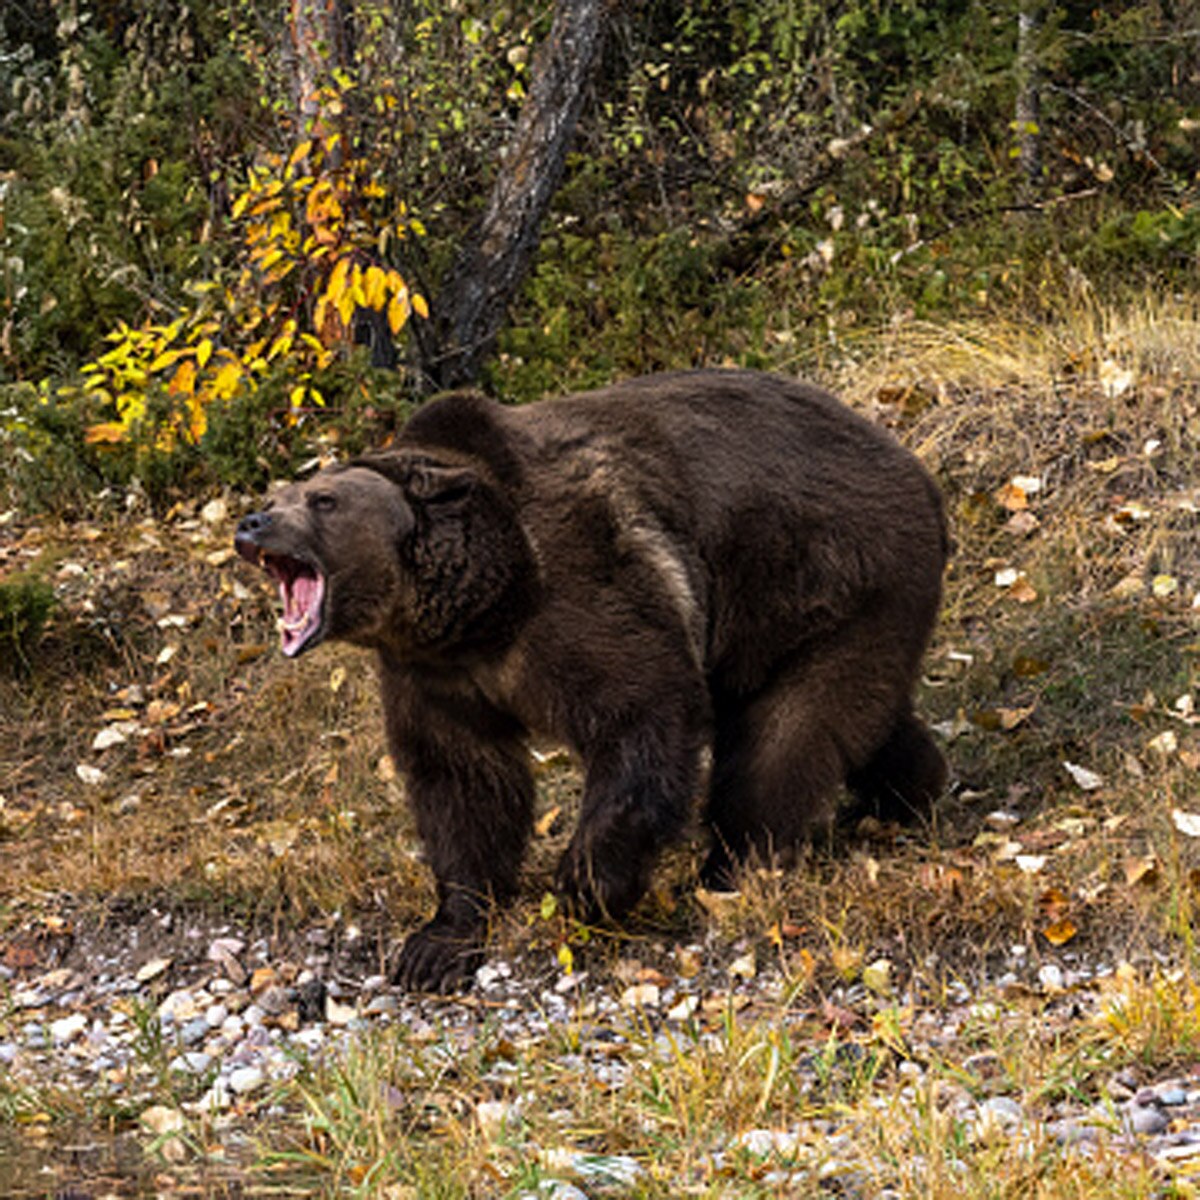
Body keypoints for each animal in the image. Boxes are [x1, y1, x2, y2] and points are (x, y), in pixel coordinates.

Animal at [233, 369, 948, 992]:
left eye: (323, 500)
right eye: (274, 498)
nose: (252, 522)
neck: (487, 608)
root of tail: (912, 464)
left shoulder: (580, 591)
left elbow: (641, 710)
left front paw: (586, 881)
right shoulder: (434, 674)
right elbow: (461, 780)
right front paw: (438, 942)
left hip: (835, 571)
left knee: (787, 733)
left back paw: (734, 862)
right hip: (782, 620)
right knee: (852, 715)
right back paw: (908, 789)